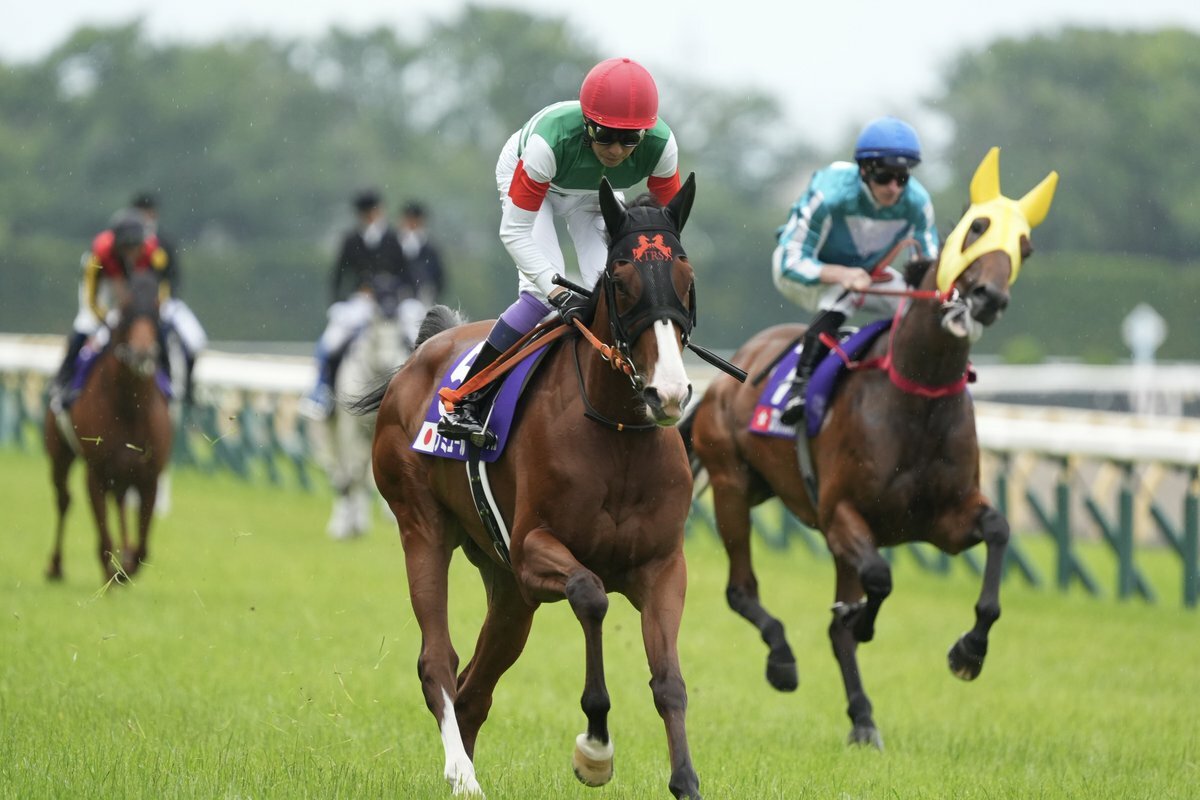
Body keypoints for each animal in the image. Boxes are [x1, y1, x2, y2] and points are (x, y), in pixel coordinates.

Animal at [43, 270, 173, 584]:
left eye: (156, 308)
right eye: (125, 309)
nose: (142, 354)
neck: (129, 406)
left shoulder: (149, 476)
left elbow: (141, 550)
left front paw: (124, 567)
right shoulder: (96, 473)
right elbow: (103, 538)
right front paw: (111, 575)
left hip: (125, 473)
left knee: (121, 504)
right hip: (60, 455)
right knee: (64, 500)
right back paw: (55, 566)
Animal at [311, 272, 416, 539]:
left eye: (398, 332)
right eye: (375, 329)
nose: (389, 363)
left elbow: (368, 474)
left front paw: (362, 522)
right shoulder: (350, 428)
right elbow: (351, 472)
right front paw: (349, 526)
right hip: (330, 430)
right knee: (338, 471)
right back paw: (341, 522)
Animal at [357, 176, 704, 798]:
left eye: (686, 280)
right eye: (620, 281)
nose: (667, 393)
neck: (618, 435)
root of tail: (421, 355)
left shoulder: (663, 567)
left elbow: (669, 680)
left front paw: (685, 780)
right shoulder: (534, 551)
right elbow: (591, 595)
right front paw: (595, 748)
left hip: (507, 589)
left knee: (474, 688)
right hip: (424, 527)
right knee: (438, 662)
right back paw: (462, 774)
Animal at [680, 148, 1058, 748]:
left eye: (1025, 246)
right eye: (975, 229)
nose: (988, 298)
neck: (917, 397)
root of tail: (730, 371)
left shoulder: (946, 521)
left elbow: (998, 532)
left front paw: (969, 651)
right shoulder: (842, 515)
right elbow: (879, 580)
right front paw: (860, 620)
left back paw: (862, 718)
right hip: (732, 485)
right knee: (742, 590)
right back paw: (782, 660)